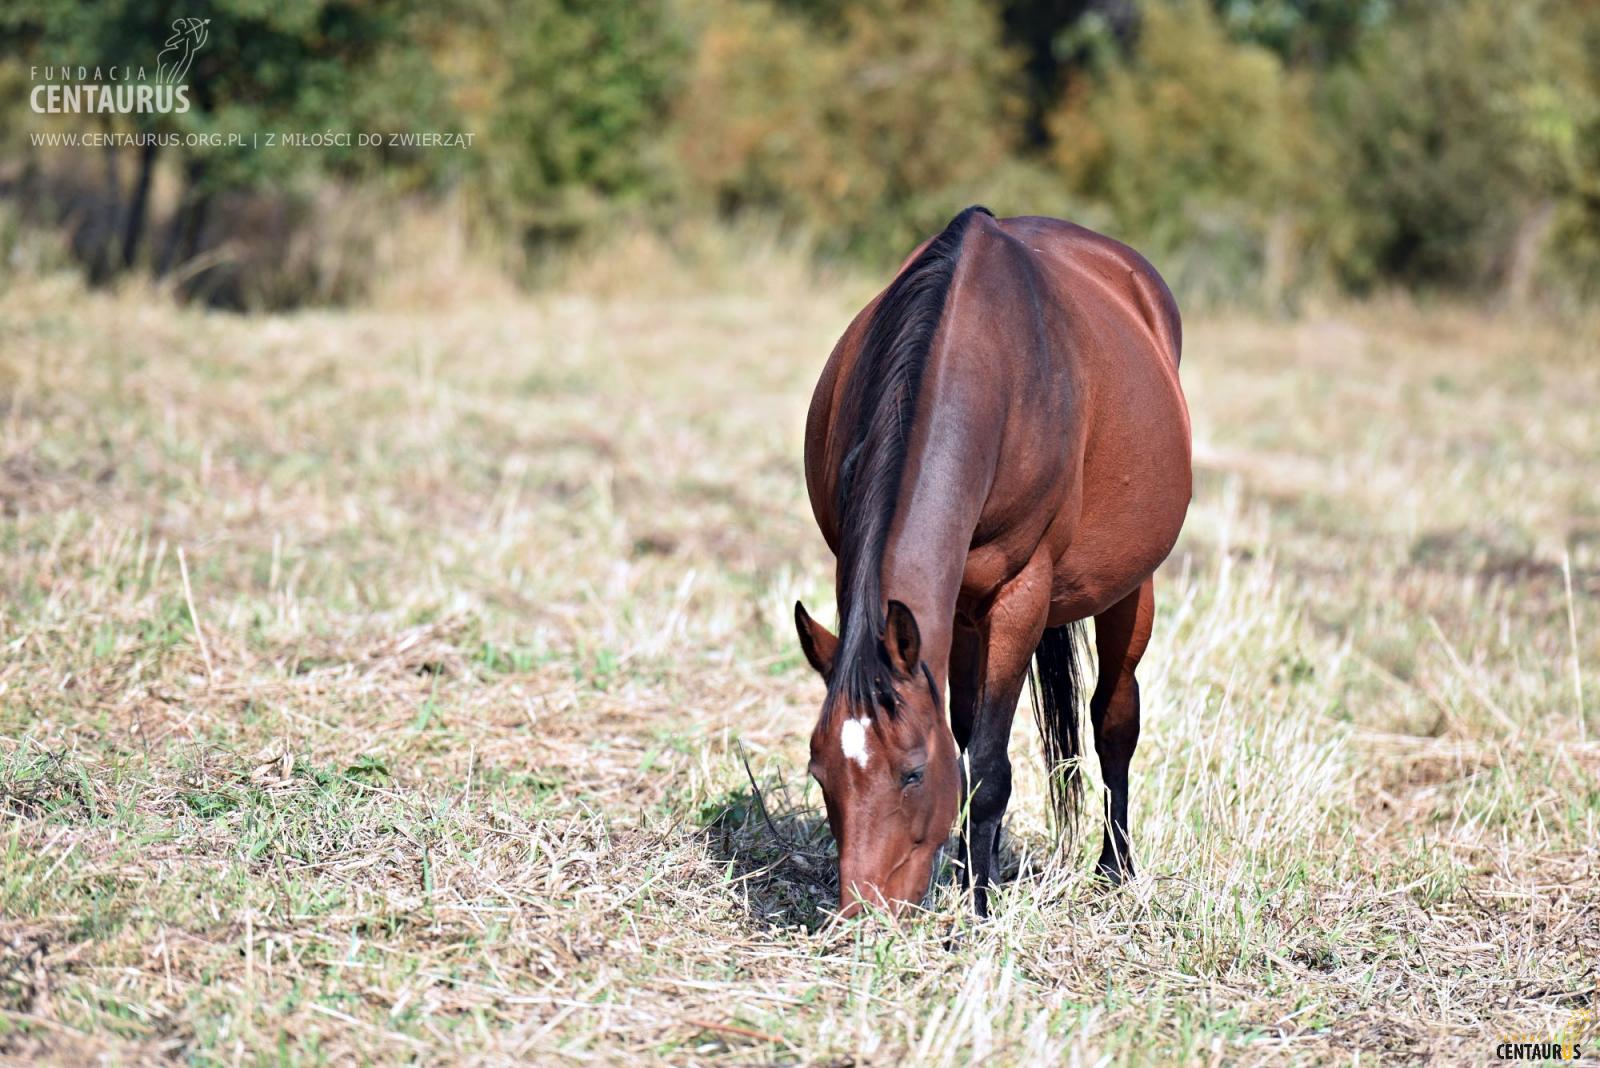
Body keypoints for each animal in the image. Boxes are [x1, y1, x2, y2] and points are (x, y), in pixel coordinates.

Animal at [794, 206, 1190, 918]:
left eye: (912, 772)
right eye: (820, 771)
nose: (864, 914)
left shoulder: (1020, 597)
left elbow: (988, 770)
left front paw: (979, 908)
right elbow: (966, 739)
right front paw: (967, 878)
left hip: (1130, 588)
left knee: (1114, 719)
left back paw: (1114, 869)